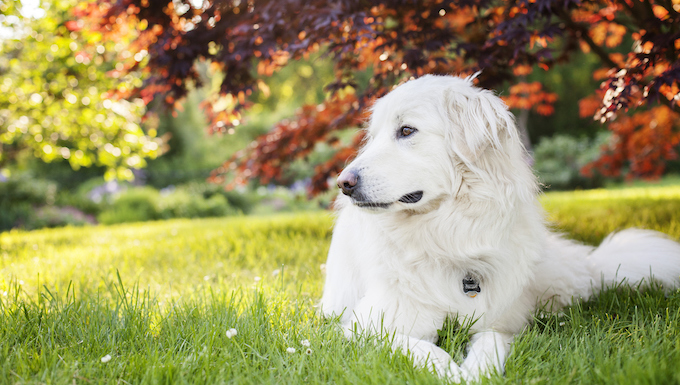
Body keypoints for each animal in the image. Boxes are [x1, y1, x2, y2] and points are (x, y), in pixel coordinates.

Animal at [318, 75, 680, 380]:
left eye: (406, 131)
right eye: (374, 137)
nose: (343, 183)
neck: (448, 236)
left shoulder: (499, 323)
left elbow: (491, 344)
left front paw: (477, 373)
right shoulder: (368, 327)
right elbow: (421, 348)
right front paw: (451, 373)